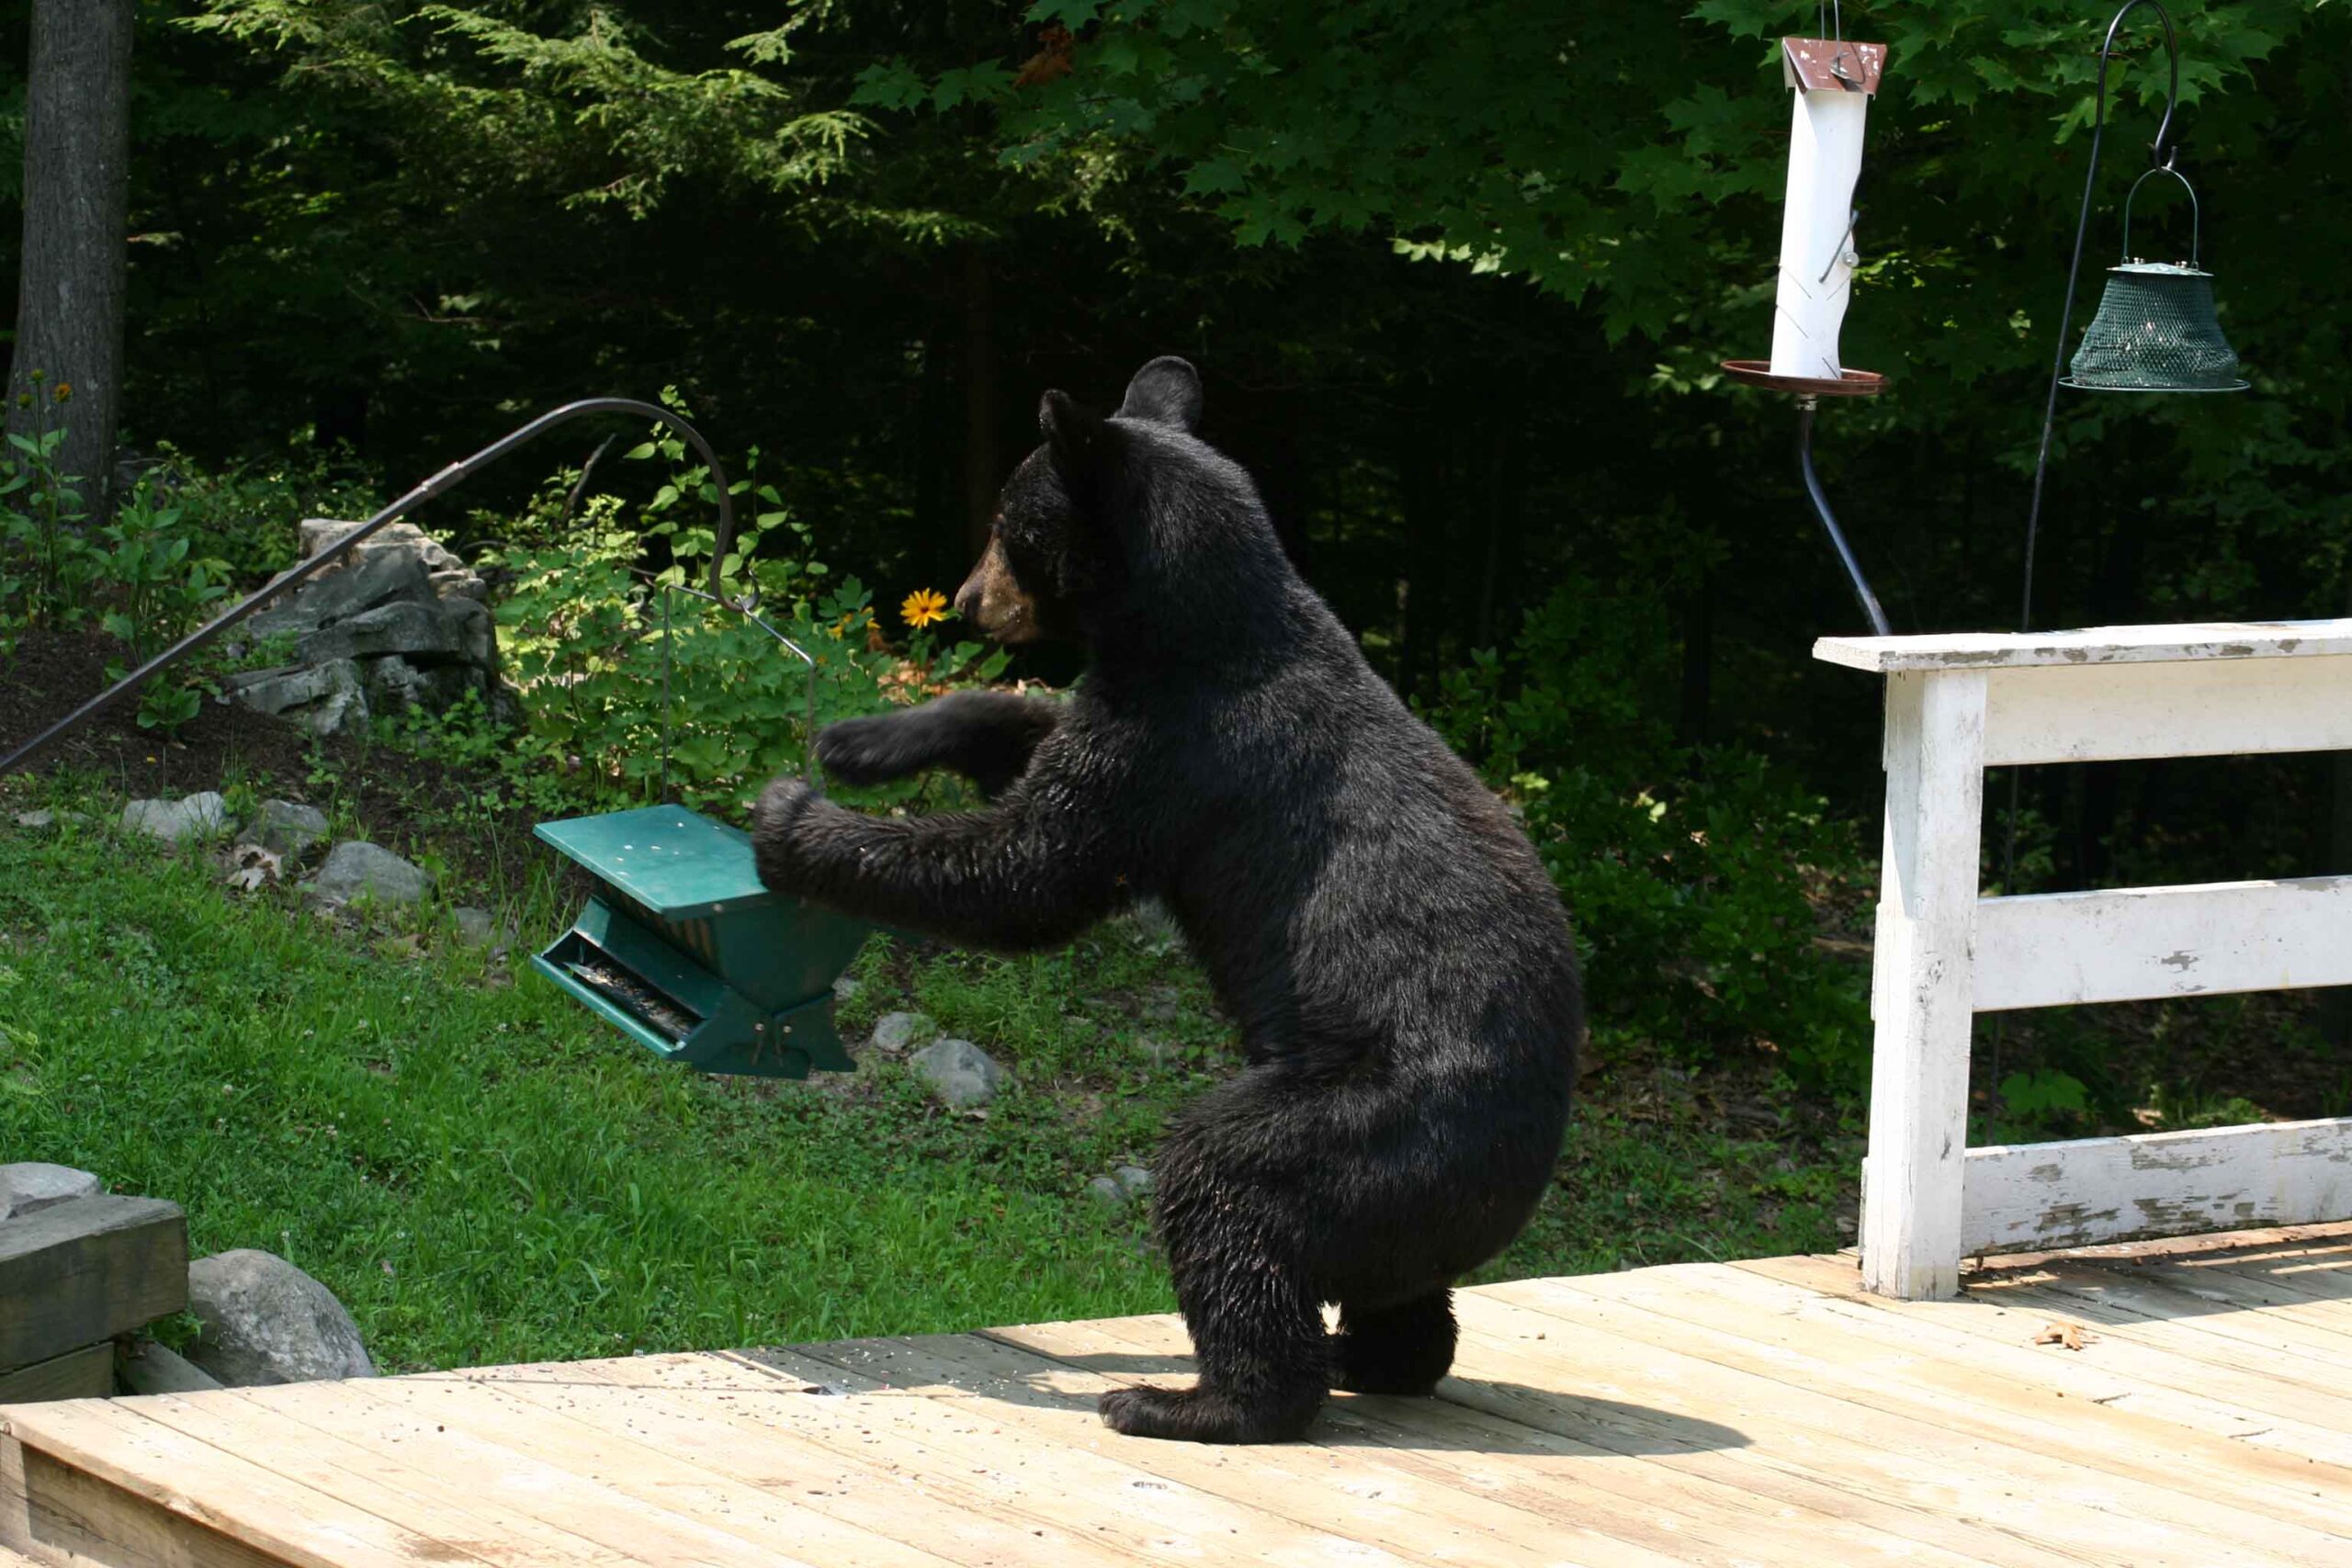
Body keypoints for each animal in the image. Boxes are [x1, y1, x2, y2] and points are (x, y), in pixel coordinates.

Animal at [752, 356, 1582, 1444]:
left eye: (1008, 524)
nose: (967, 598)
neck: (1194, 627)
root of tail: (1521, 1186)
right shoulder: (1135, 719)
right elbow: (1027, 743)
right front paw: (866, 737)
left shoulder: (1185, 749)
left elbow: (1028, 870)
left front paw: (795, 822)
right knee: (1393, 1285)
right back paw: (1380, 1354)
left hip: (1372, 1123)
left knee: (1225, 1191)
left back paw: (1196, 1397)